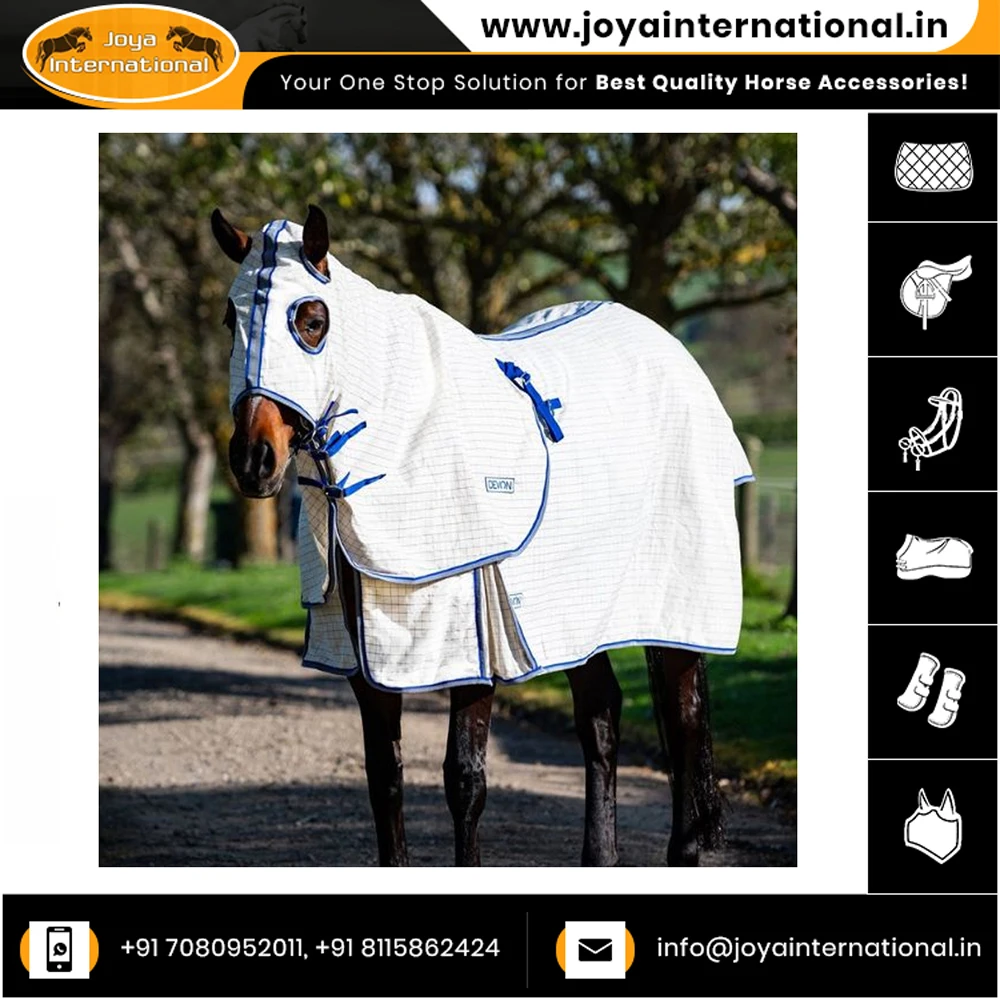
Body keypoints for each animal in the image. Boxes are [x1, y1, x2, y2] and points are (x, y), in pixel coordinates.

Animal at [211, 204, 749, 867]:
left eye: (312, 320)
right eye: (230, 318)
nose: (253, 459)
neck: (406, 443)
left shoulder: (468, 645)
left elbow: (464, 780)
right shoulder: (367, 659)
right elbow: (384, 777)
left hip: (674, 607)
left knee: (684, 718)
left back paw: (687, 851)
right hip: (574, 617)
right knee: (601, 716)